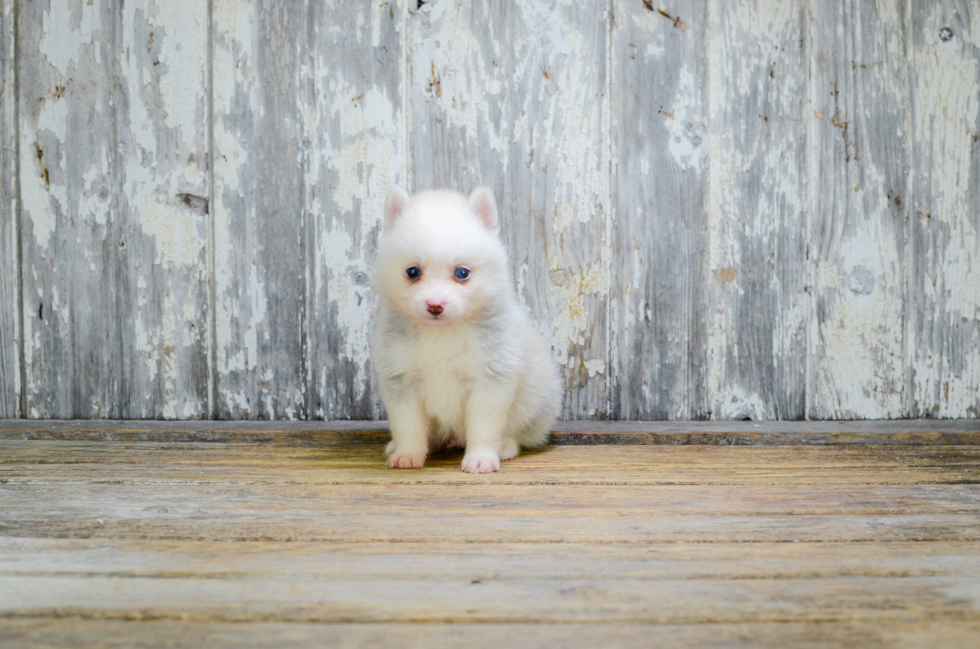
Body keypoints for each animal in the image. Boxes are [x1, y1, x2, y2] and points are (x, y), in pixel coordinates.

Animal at [372, 185, 564, 474]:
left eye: (462, 273)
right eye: (413, 272)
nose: (435, 305)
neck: (440, 335)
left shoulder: (489, 380)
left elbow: (484, 427)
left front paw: (481, 458)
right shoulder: (401, 381)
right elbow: (408, 426)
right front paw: (407, 454)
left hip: (536, 405)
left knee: (522, 434)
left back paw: (505, 446)